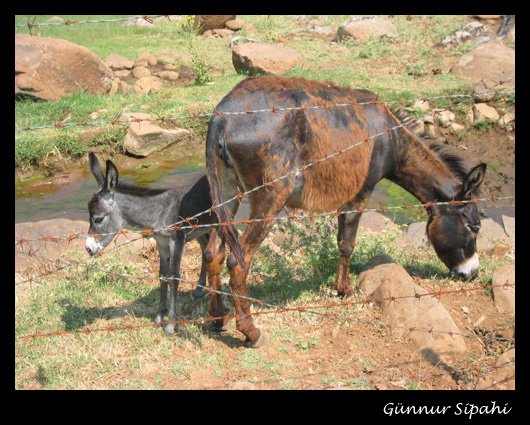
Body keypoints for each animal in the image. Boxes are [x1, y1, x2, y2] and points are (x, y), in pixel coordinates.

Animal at [85, 152, 216, 334]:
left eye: (98, 219)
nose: (88, 248)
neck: (159, 213)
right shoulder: (161, 243)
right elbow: (162, 276)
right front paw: (159, 316)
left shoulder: (176, 241)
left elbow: (174, 277)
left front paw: (171, 324)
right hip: (201, 229)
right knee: (205, 248)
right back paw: (199, 289)